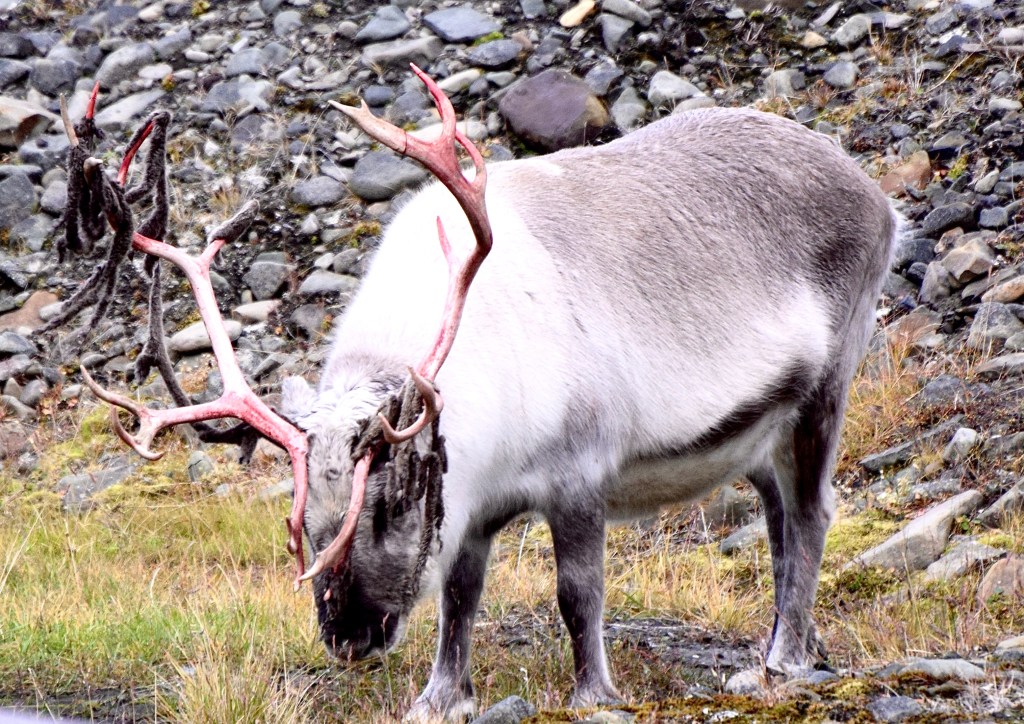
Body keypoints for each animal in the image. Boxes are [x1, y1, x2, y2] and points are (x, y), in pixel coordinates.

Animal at [53, 65, 897, 721]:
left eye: (390, 503)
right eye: (304, 520)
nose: (350, 637)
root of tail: (876, 195)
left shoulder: (580, 471)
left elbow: (578, 592)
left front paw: (592, 693)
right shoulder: (476, 504)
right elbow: (460, 596)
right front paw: (439, 696)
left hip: (826, 389)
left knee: (814, 515)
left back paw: (784, 660)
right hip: (761, 434)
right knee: (780, 524)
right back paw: (792, 644)